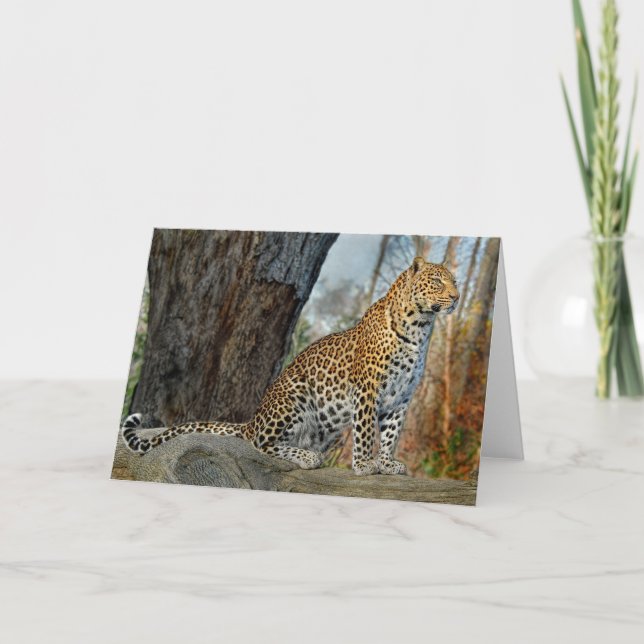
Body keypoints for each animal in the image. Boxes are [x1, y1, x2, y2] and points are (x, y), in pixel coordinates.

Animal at [122, 256, 459, 476]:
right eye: (436, 282)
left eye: (455, 281)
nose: (456, 297)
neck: (420, 326)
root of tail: (252, 420)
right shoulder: (367, 388)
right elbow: (365, 431)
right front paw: (365, 464)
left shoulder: (402, 397)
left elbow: (391, 434)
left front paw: (388, 462)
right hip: (293, 397)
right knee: (261, 444)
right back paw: (306, 457)